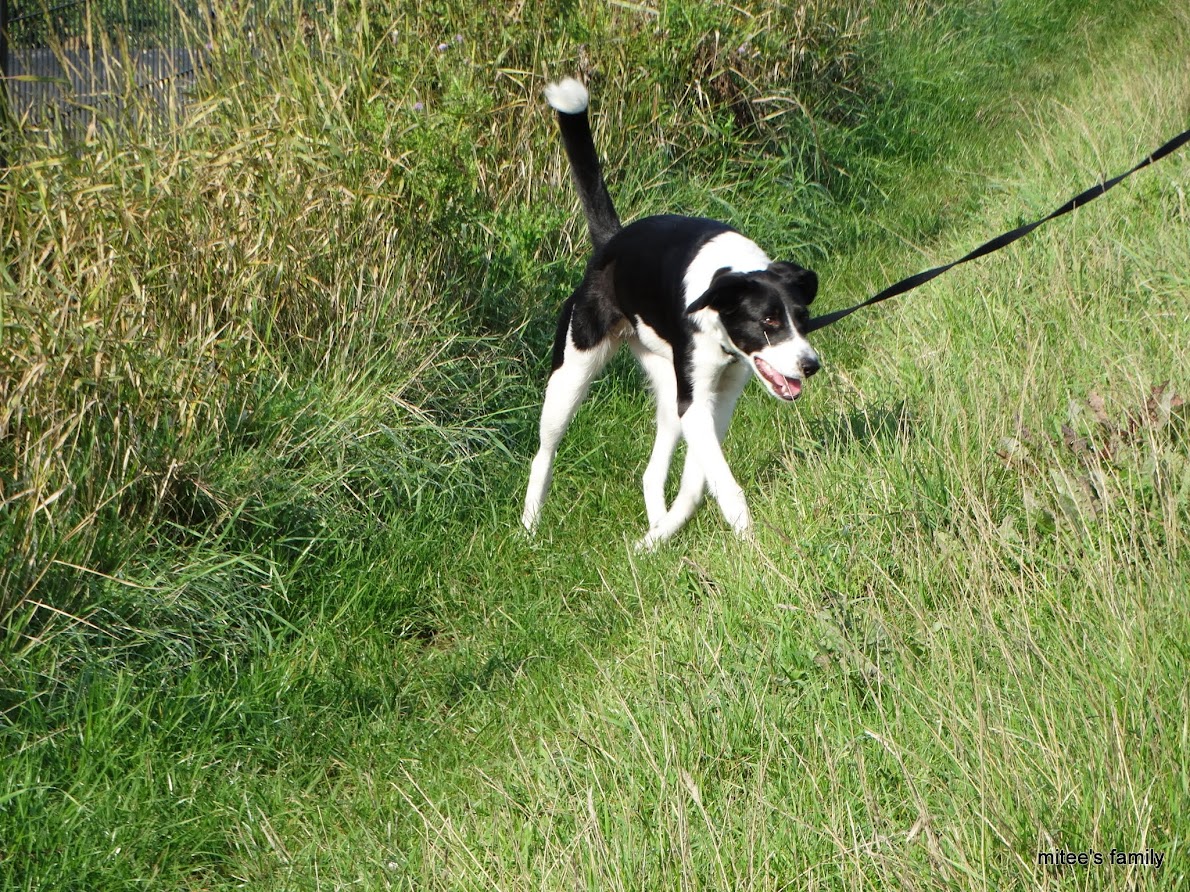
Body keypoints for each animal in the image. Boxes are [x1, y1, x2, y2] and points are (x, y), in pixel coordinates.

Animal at [525, 78, 823, 551]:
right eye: (769, 322)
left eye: (804, 316)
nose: (811, 365)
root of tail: (611, 243)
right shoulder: (695, 402)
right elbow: (723, 483)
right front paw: (749, 540)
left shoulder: (715, 398)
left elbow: (698, 482)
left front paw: (667, 532)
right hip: (572, 375)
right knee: (544, 452)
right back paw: (531, 525)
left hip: (667, 393)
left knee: (650, 474)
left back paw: (655, 531)